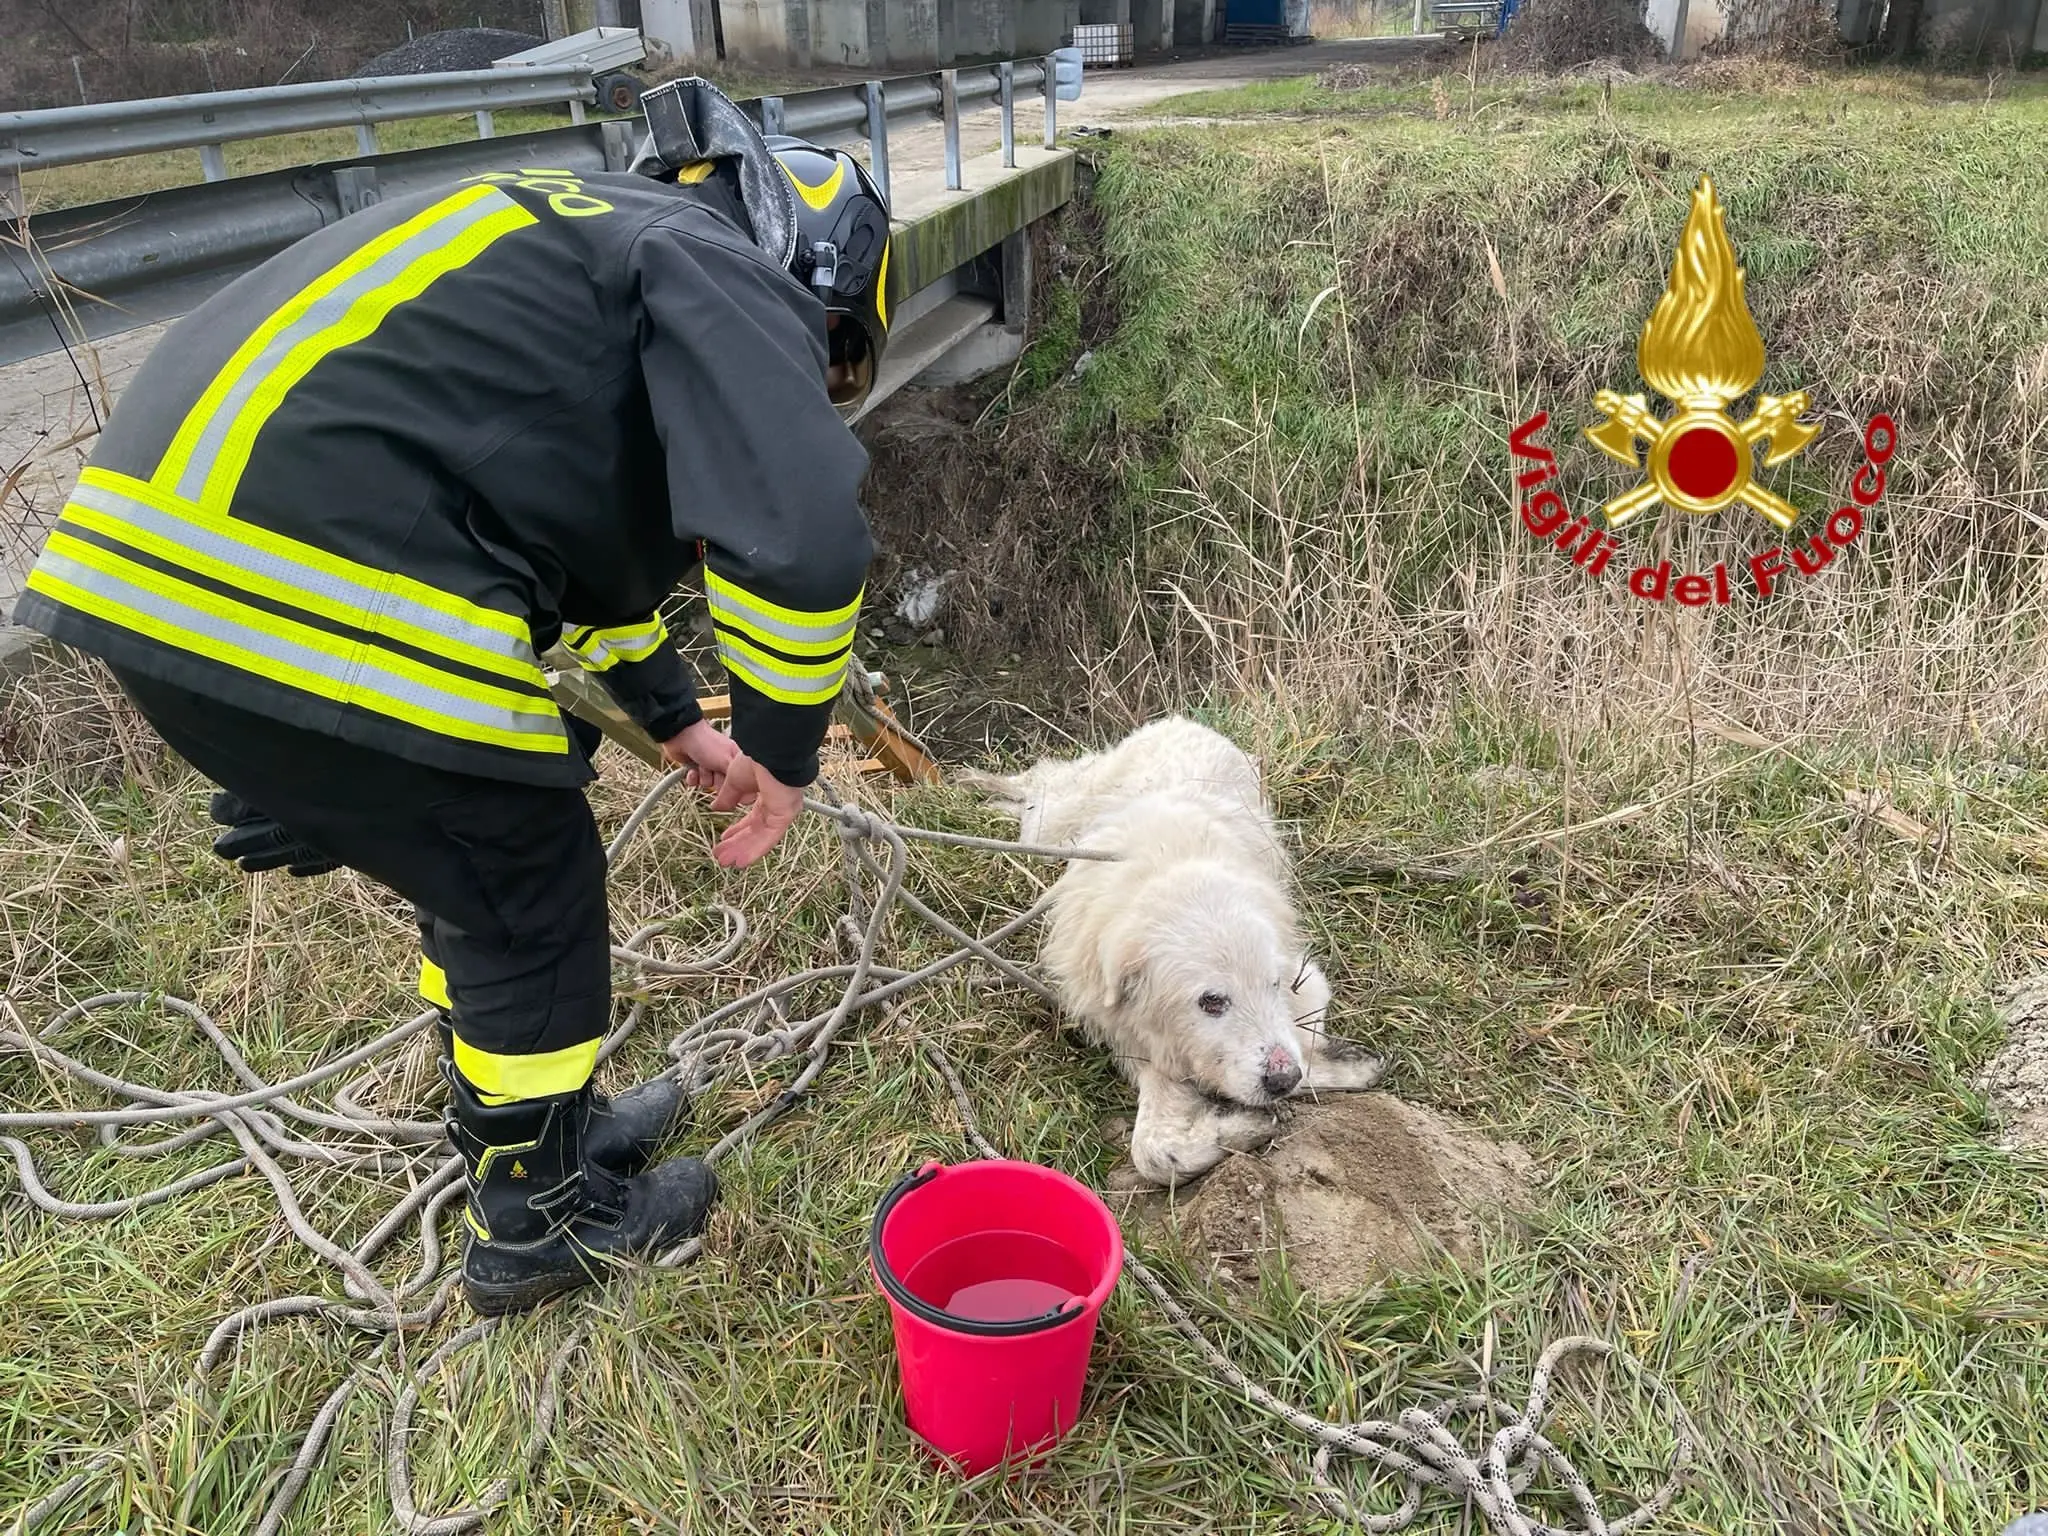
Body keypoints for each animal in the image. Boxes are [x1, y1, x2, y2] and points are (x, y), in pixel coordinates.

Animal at [962, 720, 1384, 1187]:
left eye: (1273, 985)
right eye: (1211, 1001)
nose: (1282, 1080)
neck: (1174, 868)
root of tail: (1181, 721)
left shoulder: (1304, 981)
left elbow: (1154, 1150)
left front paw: (1331, 1071)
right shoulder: (1137, 1039)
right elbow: (1151, 1153)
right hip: (1053, 827)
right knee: (1040, 782)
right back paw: (979, 785)